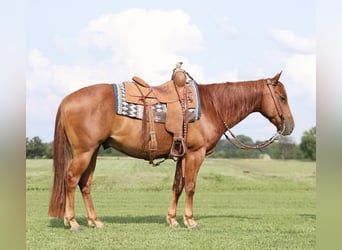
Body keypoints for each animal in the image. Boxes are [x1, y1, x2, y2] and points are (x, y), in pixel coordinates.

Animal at [47, 71, 294, 229]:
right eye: (282, 97)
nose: (290, 126)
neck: (212, 106)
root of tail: (67, 100)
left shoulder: (182, 155)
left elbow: (177, 186)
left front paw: (173, 219)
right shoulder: (195, 153)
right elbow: (191, 186)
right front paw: (190, 221)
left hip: (93, 151)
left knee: (85, 184)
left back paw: (95, 221)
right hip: (84, 152)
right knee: (71, 180)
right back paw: (72, 222)